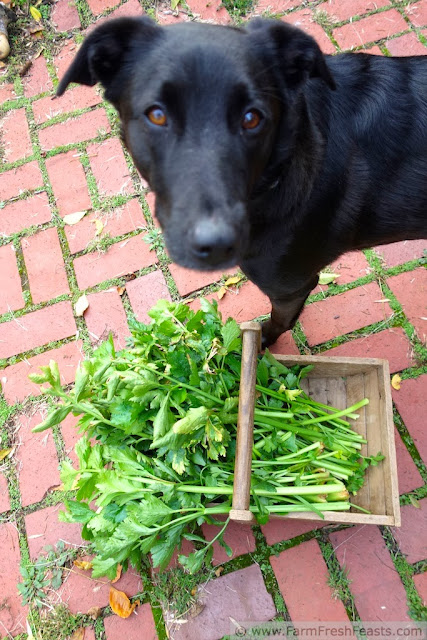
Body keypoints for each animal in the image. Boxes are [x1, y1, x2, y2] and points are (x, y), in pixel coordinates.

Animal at [57, 18, 427, 344]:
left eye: (252, 118)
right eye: (157, 115)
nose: (215, 245)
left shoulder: (291, 286)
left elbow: (280, 321)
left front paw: (260, 342)